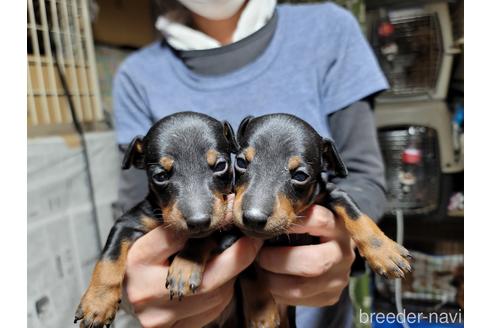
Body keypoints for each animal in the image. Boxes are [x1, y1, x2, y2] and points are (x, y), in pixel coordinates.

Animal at [73, 111, 240, 326]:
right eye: (160, 176)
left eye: (221, 165)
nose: (199, 221)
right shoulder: (128, 222)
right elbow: (109, 258)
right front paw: (97, 303)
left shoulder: (233, 227)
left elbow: (204, 237)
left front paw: (184, 268)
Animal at [233, 114, 414, 326]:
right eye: (241, 162)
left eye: (300, 175)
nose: (253, 218)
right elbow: (250, 271)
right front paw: (262, 315)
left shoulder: (333, 192)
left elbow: (356, 214)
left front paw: (385, 253)